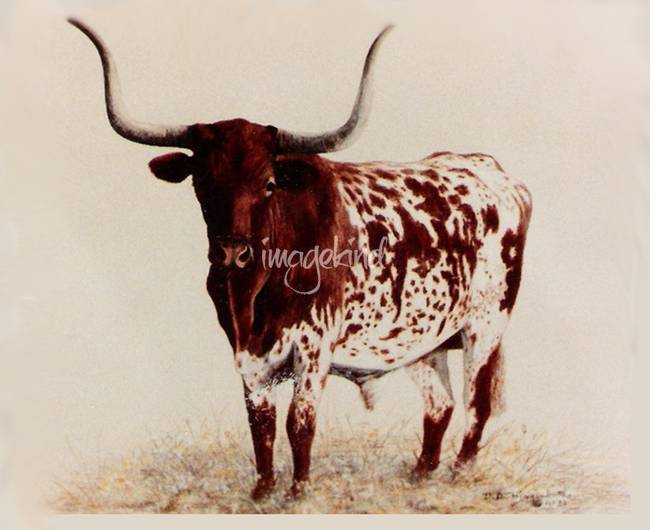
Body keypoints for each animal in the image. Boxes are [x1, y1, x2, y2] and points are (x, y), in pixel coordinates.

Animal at [68, 18, 532, 500]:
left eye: (269, 184)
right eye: (201, 183)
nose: (231, 251)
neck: (254, 293)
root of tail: (489, 169)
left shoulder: (313, 346)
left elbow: (299, 421)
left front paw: (299, 490)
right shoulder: (246, 354)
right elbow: (261, 423)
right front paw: (262, 490)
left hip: (485, 325)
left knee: (476, 403)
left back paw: (460, 472)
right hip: (421, 340)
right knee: (440, 404)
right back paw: (421, 474)